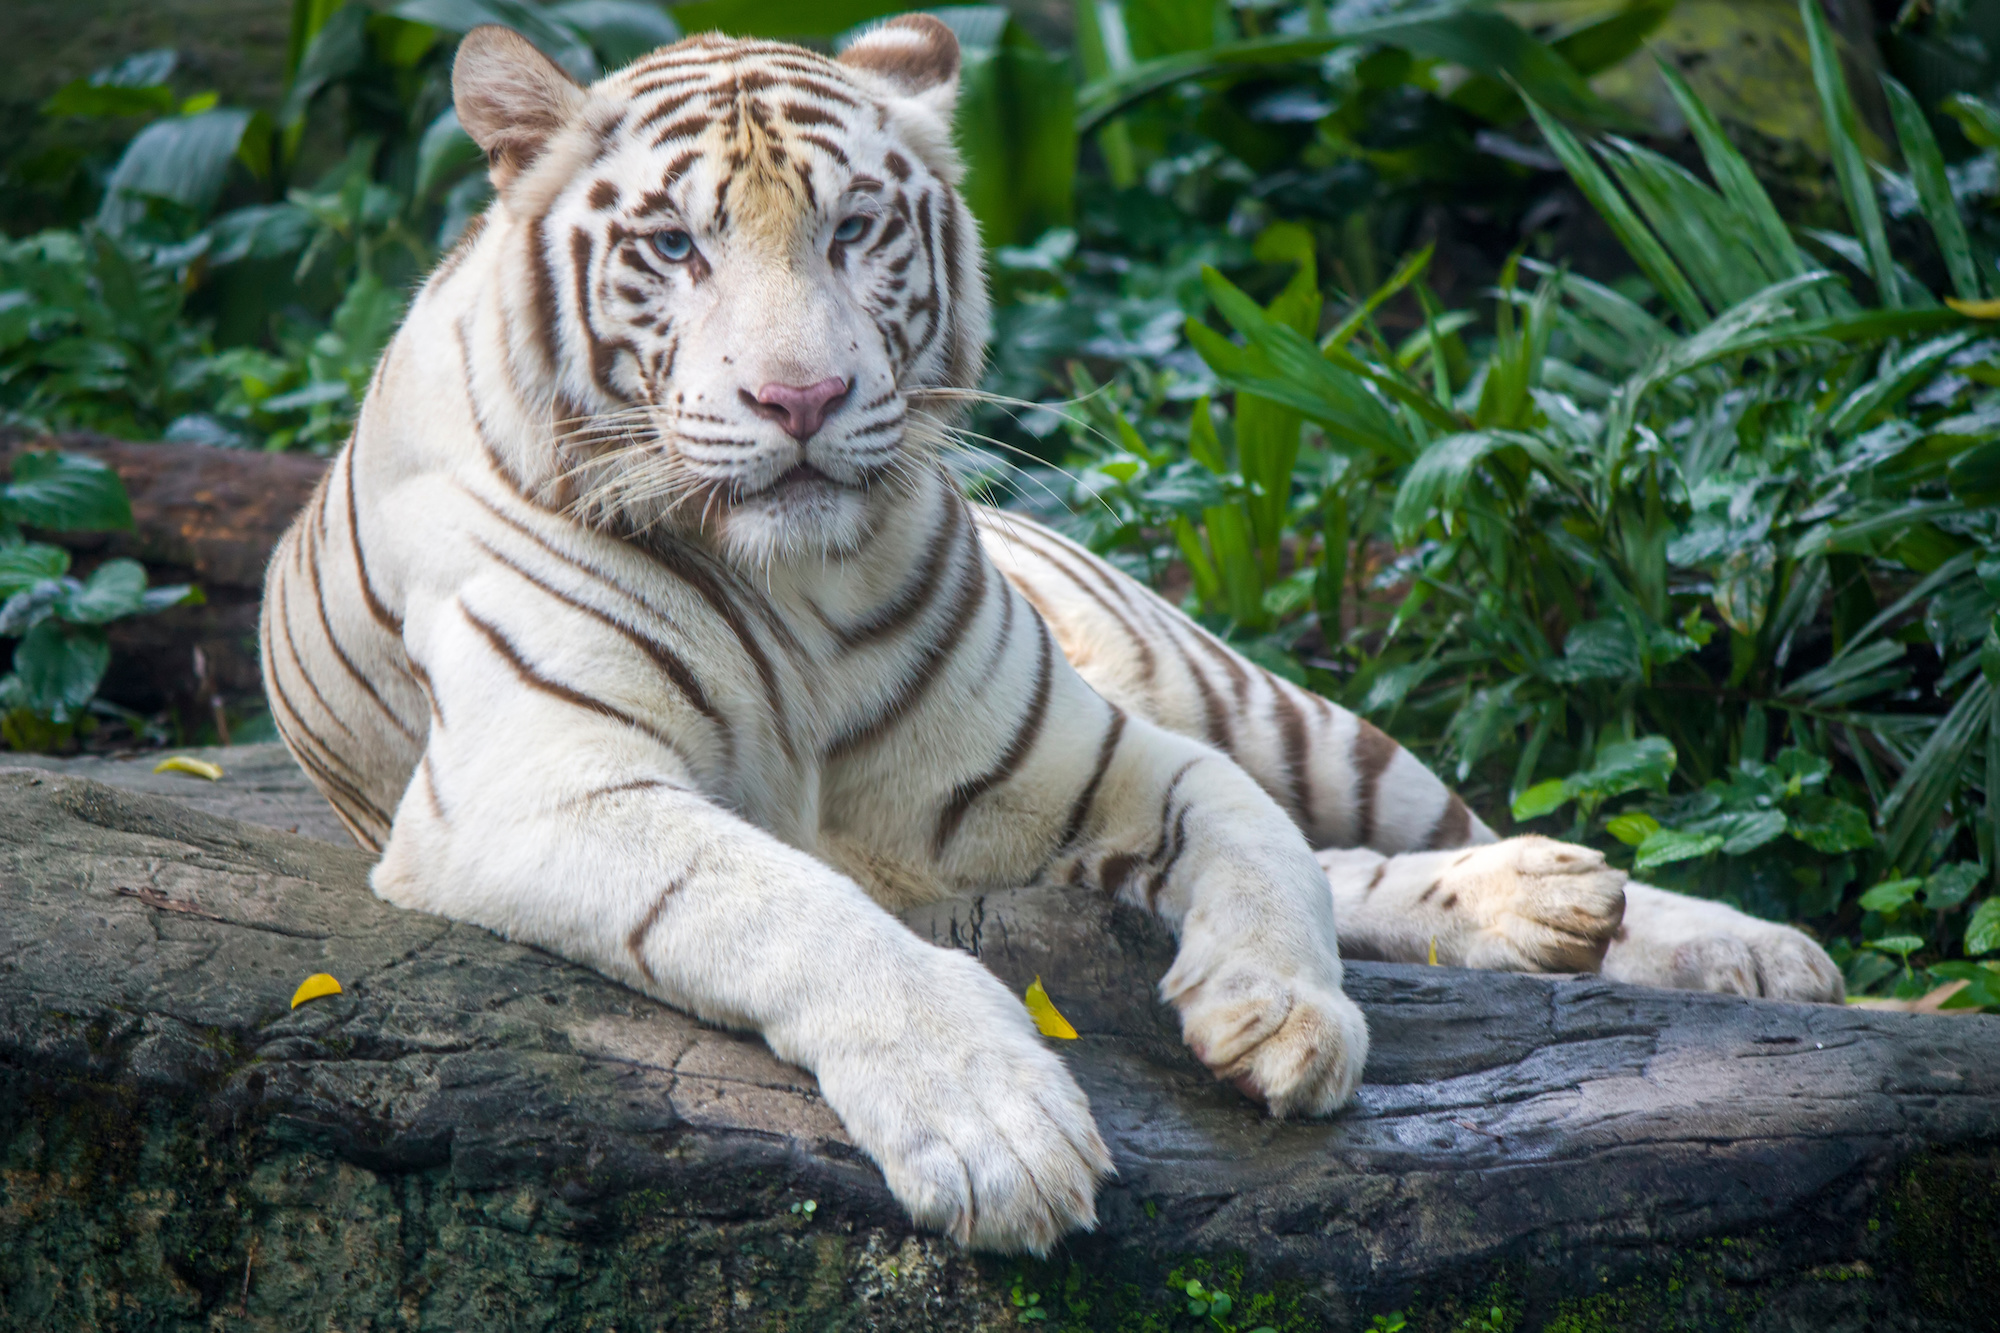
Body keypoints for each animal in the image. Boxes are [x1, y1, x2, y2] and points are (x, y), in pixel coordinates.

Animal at [258, 15, 1843, 1256]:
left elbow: (1260, 846)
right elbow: (790, 904)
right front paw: (993, 1133)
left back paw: (1724, 942)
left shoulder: (1098, 749)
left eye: (850, 228)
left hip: (1270, 704)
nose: (800, 399)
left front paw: (1279, 1010)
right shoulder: (540, 790)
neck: (792, 592)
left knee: (1372, 823)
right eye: (673, 245)